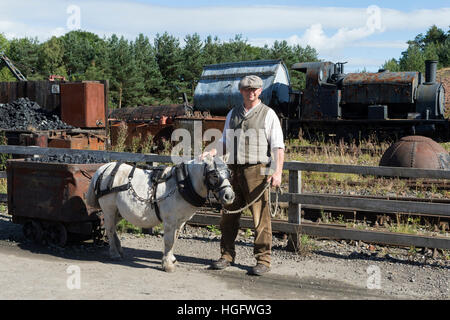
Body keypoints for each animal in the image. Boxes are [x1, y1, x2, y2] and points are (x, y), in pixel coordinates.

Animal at [85, 156, 236, 272]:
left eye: (229, 173)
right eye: (215, 175)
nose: (229, 196)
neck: (181, 184)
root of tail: (104, 168)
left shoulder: (180, 221)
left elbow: (175, 239)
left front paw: (172, 259)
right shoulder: (170, 220)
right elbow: (169, 241)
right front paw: (167, 265)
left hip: (119, 211)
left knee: (113, 228)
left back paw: (119, 249)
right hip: (109, 209)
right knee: (110, 229)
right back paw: (114, 253)